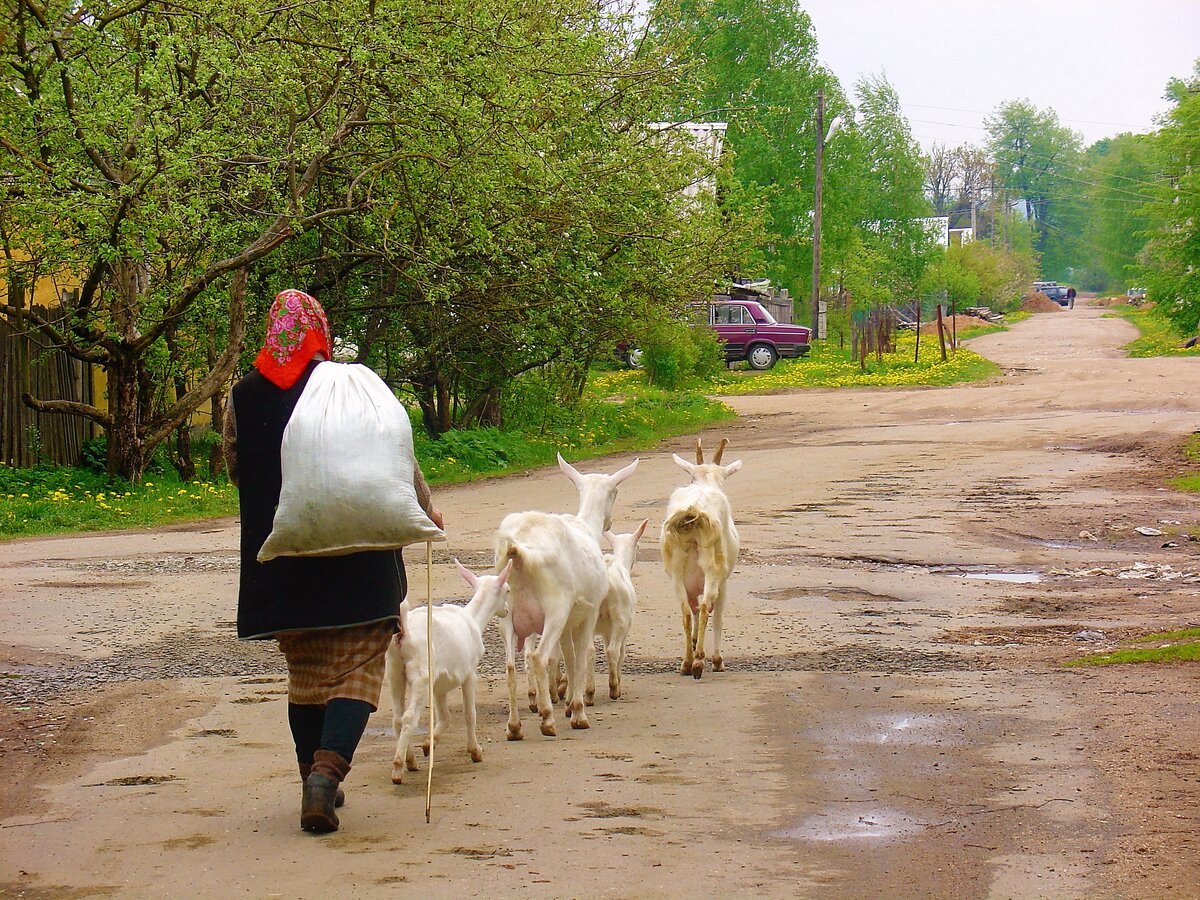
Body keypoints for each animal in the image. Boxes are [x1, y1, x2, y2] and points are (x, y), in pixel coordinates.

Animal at [388, 561, 511, 787]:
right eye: (507, 589)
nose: (506, 610)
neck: (473, 619)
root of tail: (404, 635)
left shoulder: (440, 686)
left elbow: (445, 717)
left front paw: (429, 744)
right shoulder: (470, 673)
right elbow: (470, 714)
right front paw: (475, 751)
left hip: (394, 671)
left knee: (397, 718)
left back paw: (410, 760)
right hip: (422, 676)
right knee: (409, 717)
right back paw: (398, 768)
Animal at [583, 520, 643, 705]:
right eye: (638, 546)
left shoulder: (605, 631)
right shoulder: (623, 627)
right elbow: (621, 653)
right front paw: (618, 683)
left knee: (589, 651)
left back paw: (589, 693)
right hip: (620, 618)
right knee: (613, 651)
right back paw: (614, 688)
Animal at [657, 441, 739, 681]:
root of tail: (693, 511)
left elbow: (691, 610)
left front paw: (693, 645)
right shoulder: (724, 581)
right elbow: (718, 616)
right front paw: (717, 660)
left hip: (676, 568)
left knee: (686, 610)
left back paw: (686, 662)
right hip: (713, 566)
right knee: (705, 607)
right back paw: (700, 662)